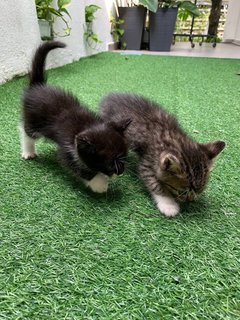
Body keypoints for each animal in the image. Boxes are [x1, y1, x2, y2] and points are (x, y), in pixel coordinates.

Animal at [20, 42, 129, 192]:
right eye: (111, 165)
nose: (121, 172)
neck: (88, 125)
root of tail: (37, 86)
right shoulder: (67, 147)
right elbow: (75, 165)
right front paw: (99, 184)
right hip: (33, 119)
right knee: (27, 132)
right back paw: (28, 151)